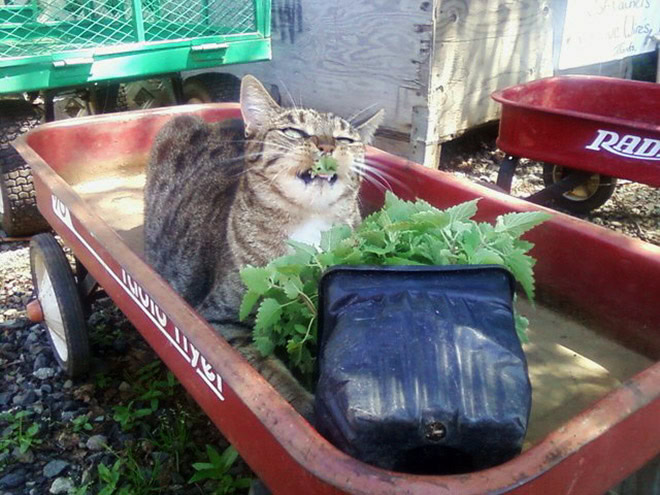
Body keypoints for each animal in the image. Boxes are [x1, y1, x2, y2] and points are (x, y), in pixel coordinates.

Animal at [143, 75, 382, 420]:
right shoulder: (221, 321)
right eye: (295, 131)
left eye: (345, 138)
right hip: (173, 127)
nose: (327, 145)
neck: (309, 223)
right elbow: (267, 371)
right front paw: (303, 404)